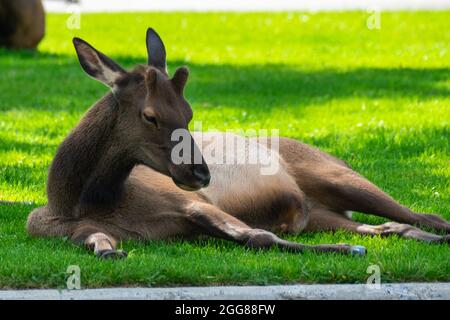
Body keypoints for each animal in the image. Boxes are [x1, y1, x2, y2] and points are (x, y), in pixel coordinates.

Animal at [27, 26, 450, 258]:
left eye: (188, 112)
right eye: (150, 115)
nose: (201, 174)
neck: (77, 200)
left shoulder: (194, 202)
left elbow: (256, 235)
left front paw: (346, 251)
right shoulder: (66, 230)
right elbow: (100, 245)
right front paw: (112, 252)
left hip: (336, 176)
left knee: (424, 215)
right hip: (320, 215)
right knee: (389, 227)